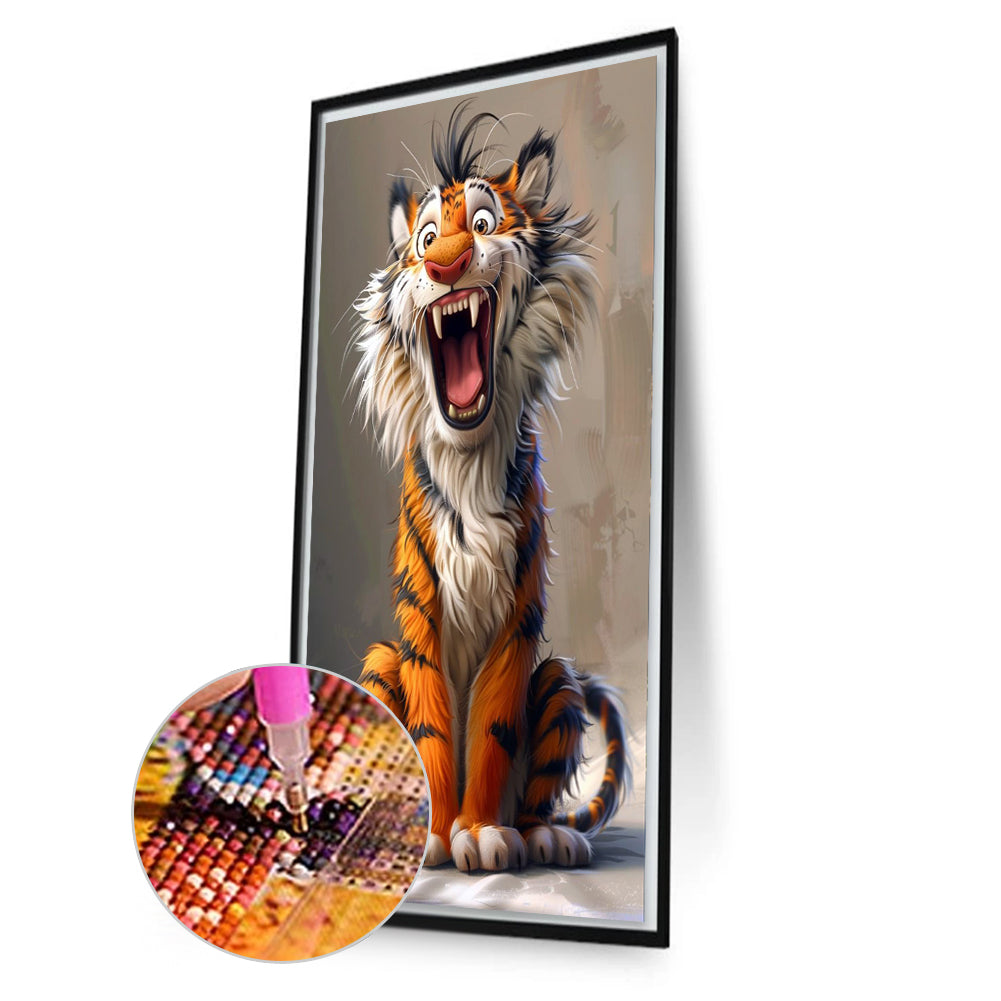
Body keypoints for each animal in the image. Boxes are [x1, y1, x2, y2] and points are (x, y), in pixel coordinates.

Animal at [350, 104, 630, 872]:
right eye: (424, 238)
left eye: (481, 221)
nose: (444, 262)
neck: (469, 458)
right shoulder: (419, 616)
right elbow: (433, 732)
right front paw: (435, 835)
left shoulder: (518, 617)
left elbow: (493, 730)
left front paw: (478, 833)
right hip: (377, 664)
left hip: (559, 679)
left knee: (538, 798)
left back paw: (545, 836)